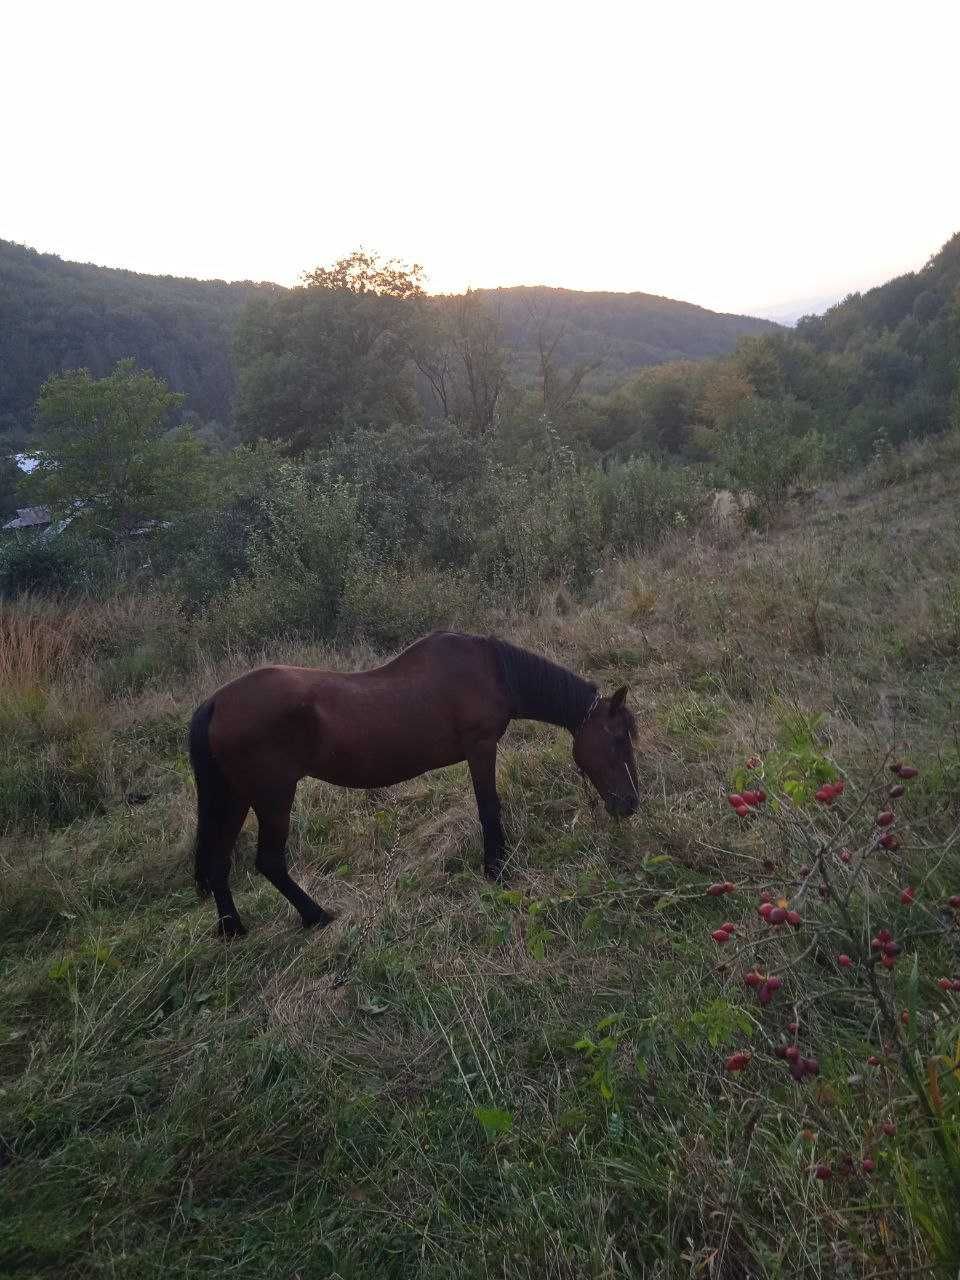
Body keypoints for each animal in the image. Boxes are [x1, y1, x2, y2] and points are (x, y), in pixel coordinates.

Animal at [188, 634, 640, 936]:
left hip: (236, 798)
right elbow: (488, 806)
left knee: (219, 862)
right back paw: (317, 916)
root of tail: (215, 702)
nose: (631, 804)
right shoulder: (480, 747)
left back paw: (233, 927)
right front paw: (496, 868)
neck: (492, 670)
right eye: (619, 739)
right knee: (269, 862)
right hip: (273, 796)